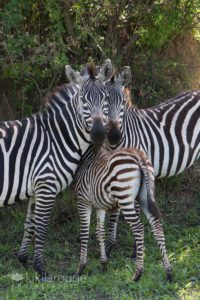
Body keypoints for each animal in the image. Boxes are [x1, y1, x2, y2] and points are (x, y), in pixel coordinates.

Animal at [72, 147, 172, 282]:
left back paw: (137, 274)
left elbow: (84, 232)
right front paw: (104, 264)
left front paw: (80, 268)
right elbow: (100, 232)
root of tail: (137, 155)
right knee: (157, 227)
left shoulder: (83, 201)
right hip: (144, 197)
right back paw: (168, 272)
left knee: (139, 228)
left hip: (125, 198)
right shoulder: (99, 206)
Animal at [104, 68, 200, 258]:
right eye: (104, 102)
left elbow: (134, 212)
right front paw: (110, 245)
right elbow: (115, 211)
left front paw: (136, 250)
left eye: (123, 103)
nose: (114, 136)